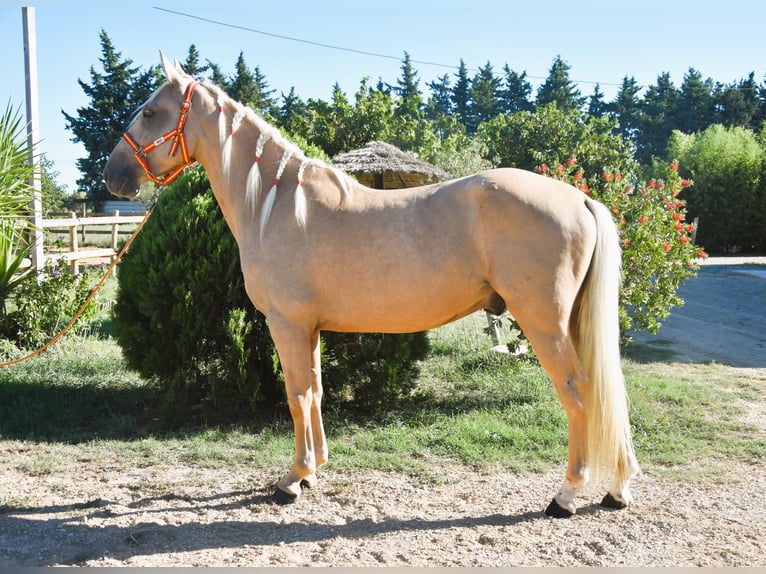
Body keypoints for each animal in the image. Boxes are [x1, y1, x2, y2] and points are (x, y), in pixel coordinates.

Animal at [104, 53, 639, 518]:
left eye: (150, 111)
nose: (113, 175)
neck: (278, 205)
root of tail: (580, 199)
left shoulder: (287, 324)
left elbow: (296, 395)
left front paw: (292, 480)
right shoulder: (309, 328)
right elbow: (316, 391)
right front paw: (313, 471)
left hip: (544, 323)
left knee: (580, 395)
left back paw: (566, 496)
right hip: (570, 324)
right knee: (605, 393)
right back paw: (616, 489)